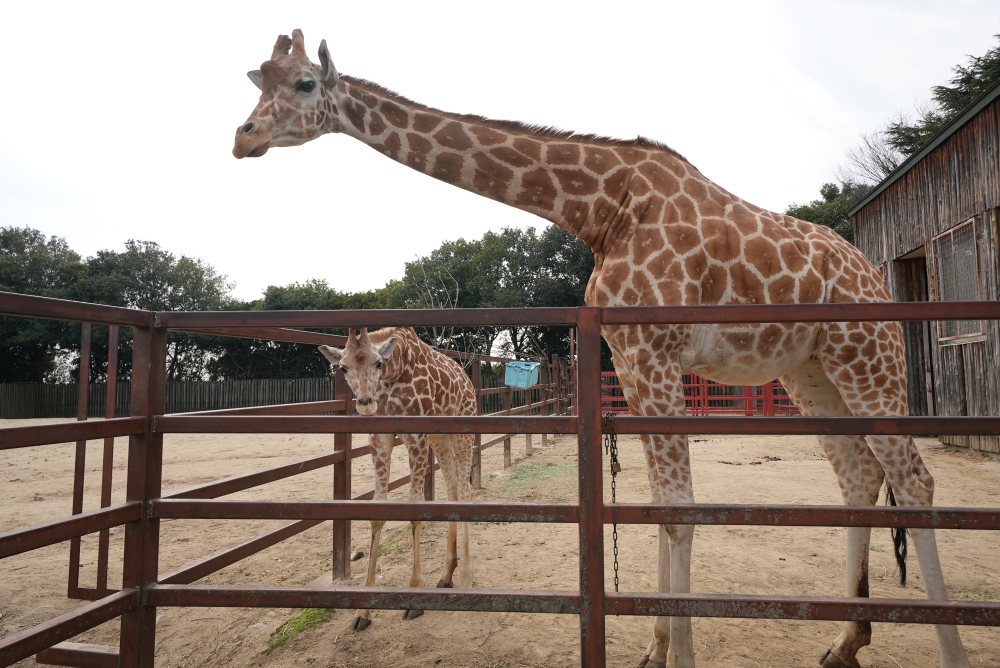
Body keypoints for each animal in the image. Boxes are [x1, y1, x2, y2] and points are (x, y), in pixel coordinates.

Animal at [318, 326, 478, 628]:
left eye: (379, 363)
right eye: (343, 367)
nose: (366, 404)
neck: (394, 374)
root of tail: (467, 381)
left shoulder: (416, 437)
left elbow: (414, 509)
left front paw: (414, 597)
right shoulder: (380, 439)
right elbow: (377, 512)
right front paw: (362, 612)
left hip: (463, 432)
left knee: (466, 492)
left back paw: (465, 576)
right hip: (441, 438)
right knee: (453, 488)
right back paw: (445, 576)